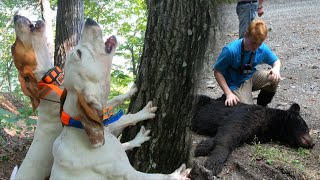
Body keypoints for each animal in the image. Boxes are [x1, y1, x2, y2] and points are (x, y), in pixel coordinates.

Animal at [49, 18, 190, 180]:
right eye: (79, 53)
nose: (89, 20)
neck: (79, 127)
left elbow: (121, 112)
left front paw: (139, 128)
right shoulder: (128, 174)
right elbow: (159, 176)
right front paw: (176, 175)